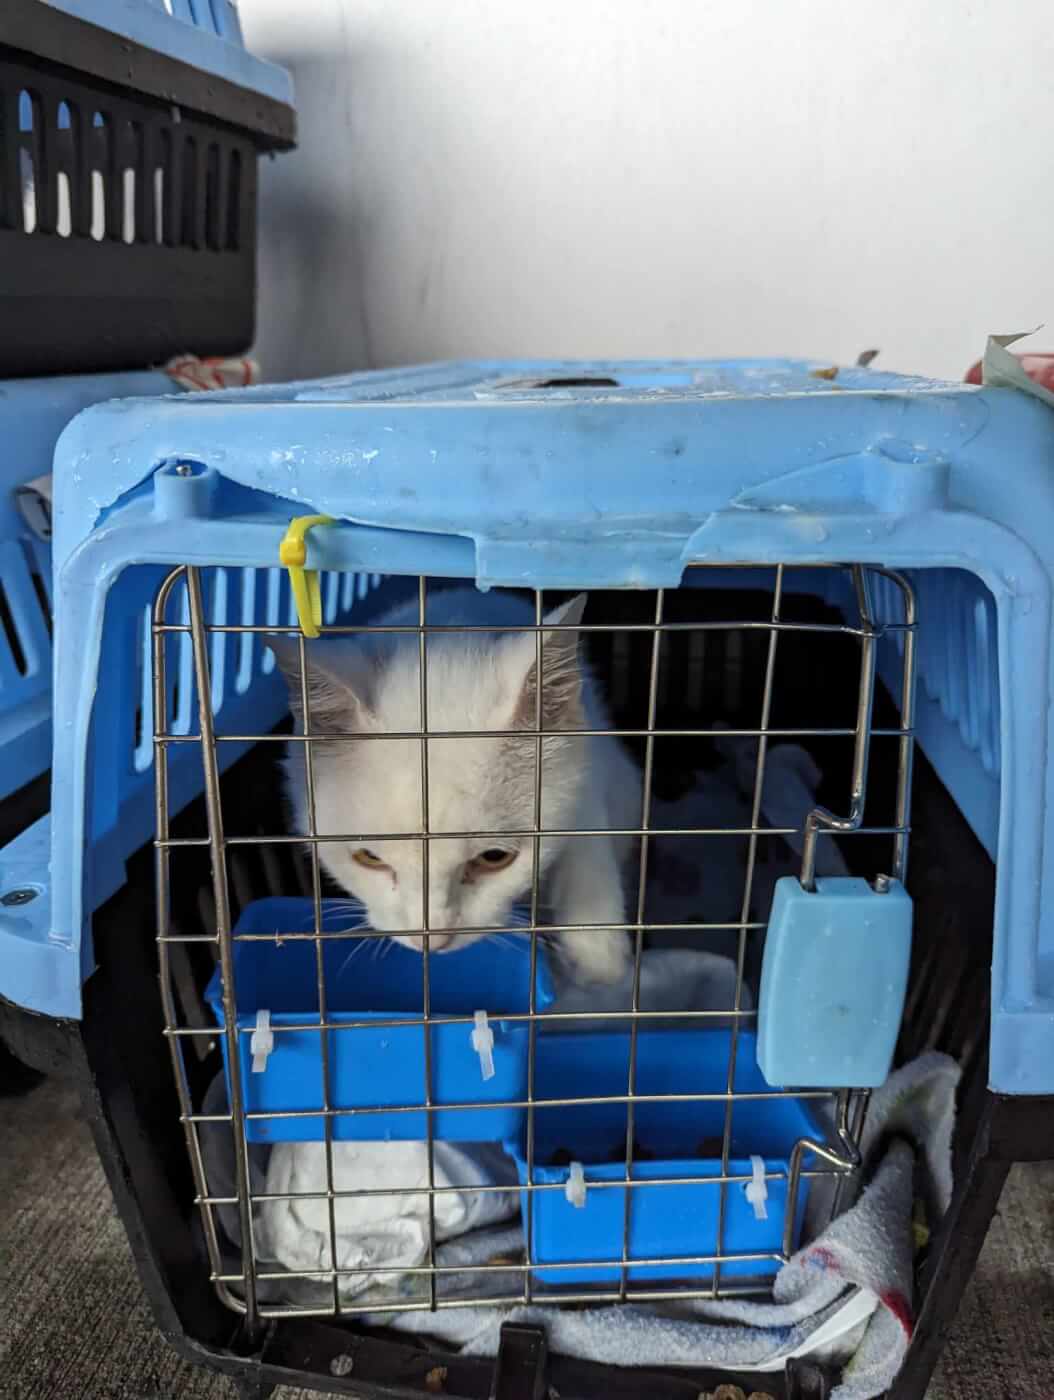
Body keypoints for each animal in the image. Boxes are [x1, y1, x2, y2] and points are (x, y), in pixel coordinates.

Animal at [268, 585, 641, 980]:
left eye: (495, 857)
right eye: (368, 857)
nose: (432, 939)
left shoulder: (586, 784)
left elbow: (589, 865)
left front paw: (601, 971)